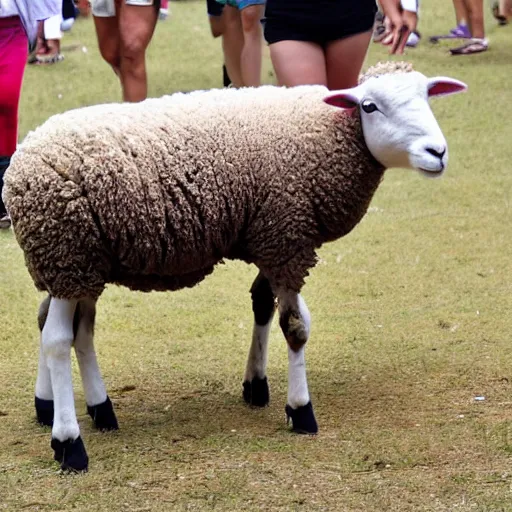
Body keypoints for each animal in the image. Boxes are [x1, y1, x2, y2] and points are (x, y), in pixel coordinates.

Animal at [3, 61, 468, 472]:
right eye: (369, 106)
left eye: (428, 96)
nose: (438, 152)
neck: (326, 133)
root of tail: (18, 168)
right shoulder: (287, 237)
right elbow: (296, 328)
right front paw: (301, 410)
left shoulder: (273, 238)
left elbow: (262, 304)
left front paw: (256, 385)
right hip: (67, 253)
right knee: (58, 340)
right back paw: (69, 443)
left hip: (76, 266)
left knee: (67, 327)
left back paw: (81, 408)